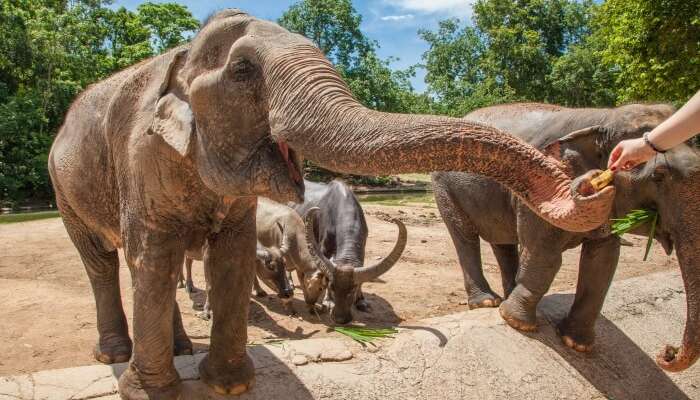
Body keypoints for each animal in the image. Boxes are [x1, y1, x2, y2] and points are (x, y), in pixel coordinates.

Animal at [290, 180, 408, 324]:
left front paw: (361, 301)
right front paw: (327, 301)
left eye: (352, 289)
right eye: (332, 286)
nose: (340, 319)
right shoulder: (323, 248)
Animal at [432, 102, 700, 372]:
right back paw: (487, 303)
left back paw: (507, 296)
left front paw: (576, 344)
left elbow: (603, 260)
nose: (667, 352)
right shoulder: (538, 186)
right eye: (659, 175)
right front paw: (517, 322)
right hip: (444, 187)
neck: (604, 118)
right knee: (464, 236)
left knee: (503, 242)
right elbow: (544, 254)